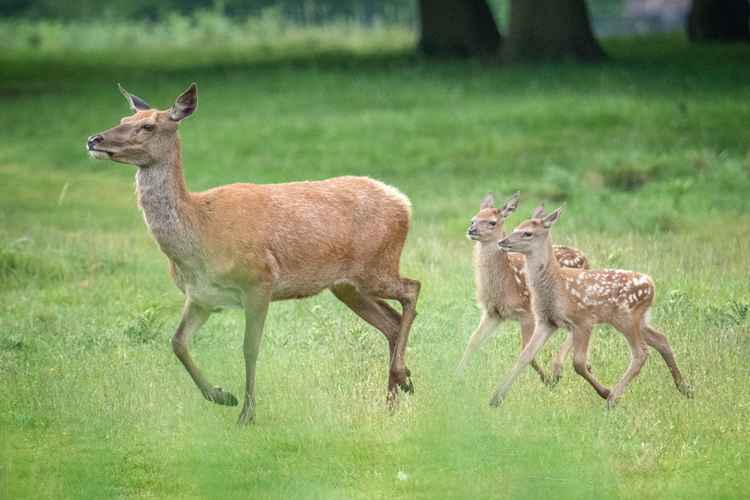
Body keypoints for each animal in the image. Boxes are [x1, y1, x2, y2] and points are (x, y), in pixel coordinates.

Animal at [86, 84, 424, 424]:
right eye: (123, 118)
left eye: (148, 126)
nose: (94, 140)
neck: (200, 233)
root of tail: (403, 201)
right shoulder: (201, 296)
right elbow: (177, 343)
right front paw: (222, 396)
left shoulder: (259, 281)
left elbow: (249, 348)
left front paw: (246, 413)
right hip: (346, 286)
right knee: (391, 322)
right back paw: (395, 395)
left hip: (376, 266)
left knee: (412, 289)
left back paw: (400, 377)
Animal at [458, 191, 592, 382]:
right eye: (473, 219)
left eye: (492, 222)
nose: (471, 230)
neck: (506, 284)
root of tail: (584, 257)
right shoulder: (494, 313)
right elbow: (473, 341)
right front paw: (455, 376)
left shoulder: (527, 314)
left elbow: (528, 353)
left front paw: (547, 380)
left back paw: (559, 369)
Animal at [494, 205, 692, 408]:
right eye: (516, 227)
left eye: (527, 233)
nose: (502, 241)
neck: (556, 287)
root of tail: (651, 285)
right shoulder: (547, 321)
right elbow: (525, 355)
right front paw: (496, 397)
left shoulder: (583, 321)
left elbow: (579, 363)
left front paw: (605, 391)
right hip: (638, 319)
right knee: (661, 339)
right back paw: (685, 388)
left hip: (626, 317)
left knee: (640, 353)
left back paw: (612, 400)